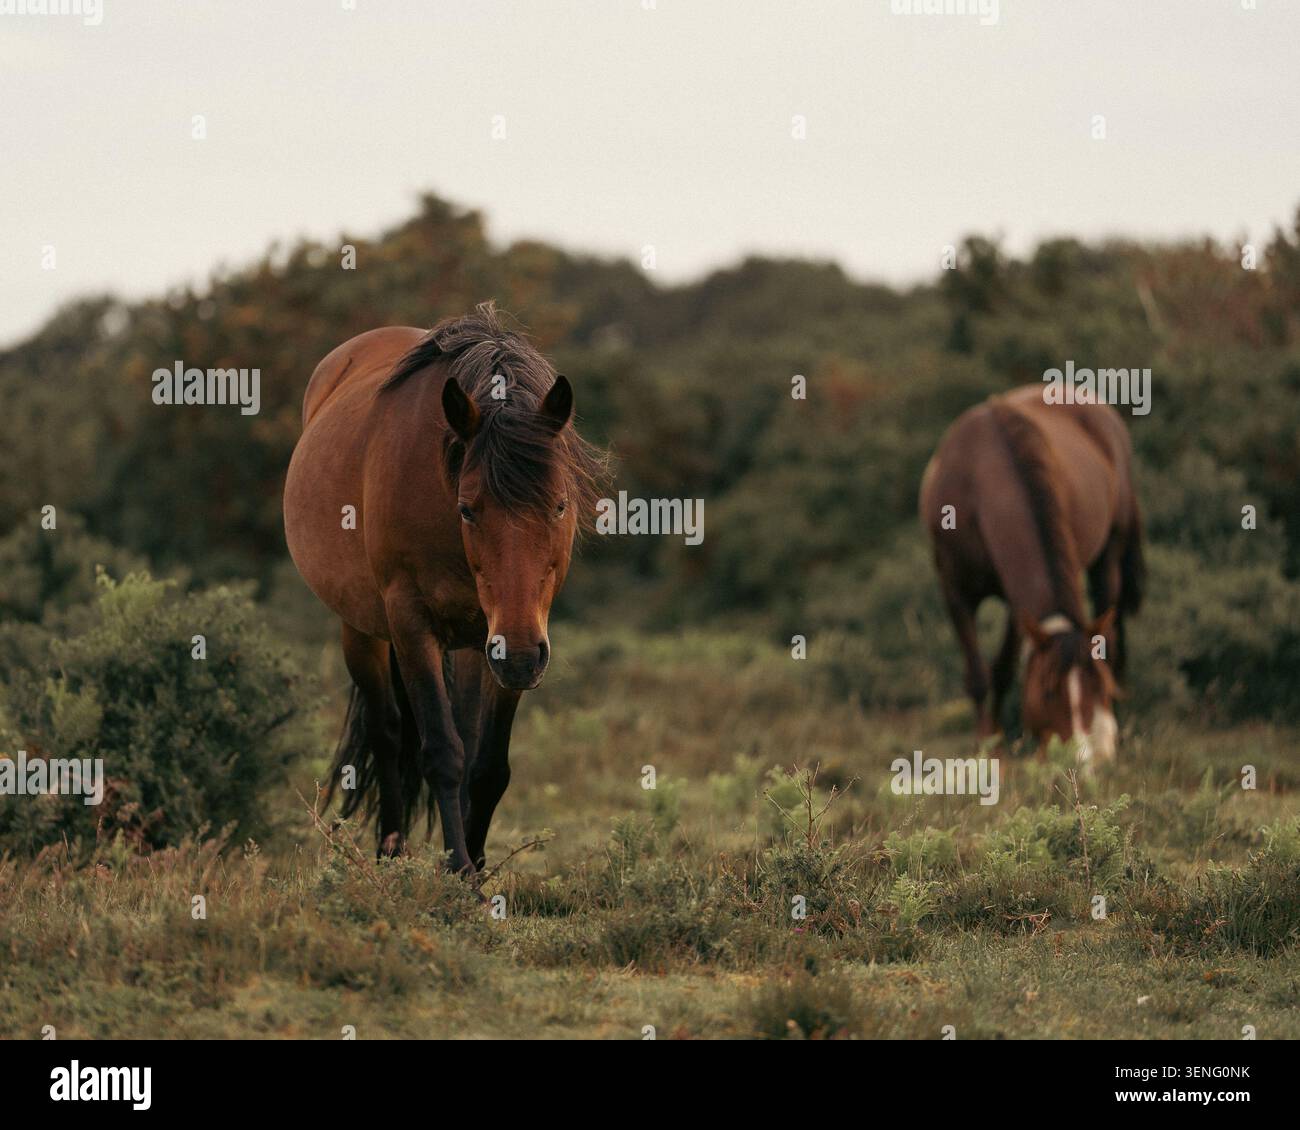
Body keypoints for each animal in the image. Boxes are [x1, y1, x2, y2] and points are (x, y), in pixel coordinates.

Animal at [283, 302, 606, 875]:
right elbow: (442, 752)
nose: (521, 658)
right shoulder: (413, 625)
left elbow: (488, 765)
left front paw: (475, 867)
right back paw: (390, 853)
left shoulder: (509, 637)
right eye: (467, 509)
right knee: (388, 732)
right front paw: (457, 872)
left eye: (560, 505)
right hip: (362, 629)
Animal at [919, 385, 1144, 762]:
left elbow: (1004, 670)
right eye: (1049, 693)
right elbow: (979, 676)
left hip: (1110, 553)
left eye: (1094, 689)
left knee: (1109, 632)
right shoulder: (955, 590)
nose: (1078, 758)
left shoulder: (1015, 601)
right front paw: (987, 751)